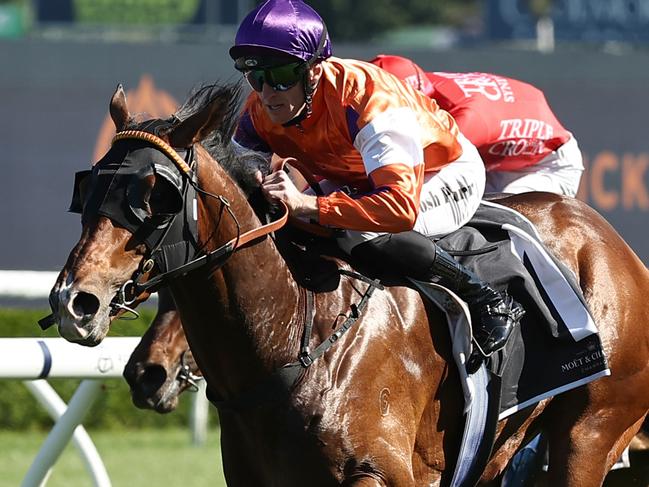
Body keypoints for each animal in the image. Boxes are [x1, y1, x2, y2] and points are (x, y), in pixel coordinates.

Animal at [48, 85, 648, 487]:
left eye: (156, 194)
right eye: (89, 186)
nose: (74, 302)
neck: (297, 334)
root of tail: (613, 244)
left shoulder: (385, 473)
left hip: (588, 434)